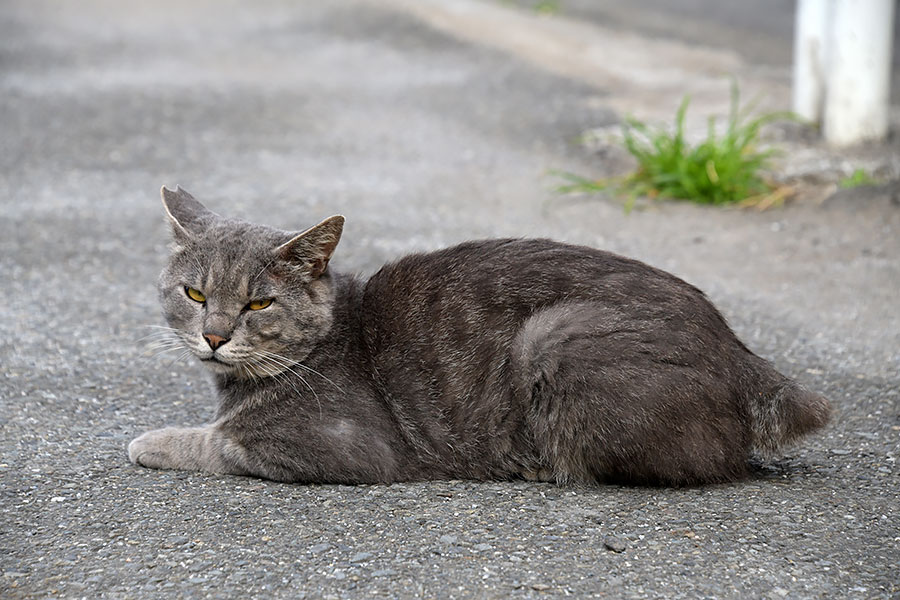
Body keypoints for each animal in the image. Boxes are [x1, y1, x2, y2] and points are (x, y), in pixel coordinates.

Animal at [126, 188, 828, 488]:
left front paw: (149, 440)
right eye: (195, 295)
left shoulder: (334, 445)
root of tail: (746, 358)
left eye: (258, 303)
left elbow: (218, 442)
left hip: (555, 335)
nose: (214, 336)